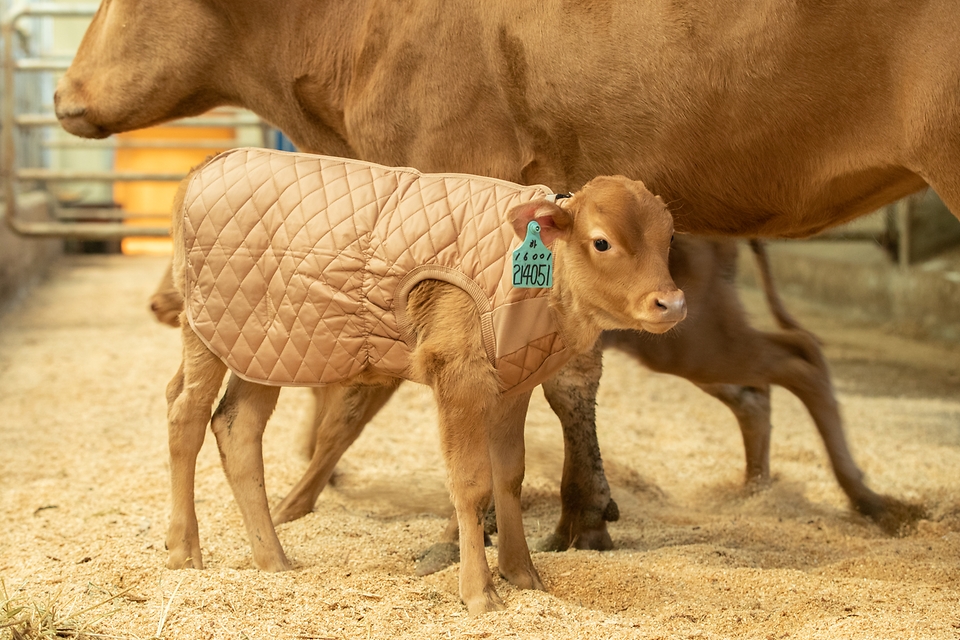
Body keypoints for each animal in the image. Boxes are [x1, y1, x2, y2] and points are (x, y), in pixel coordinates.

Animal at [165, 148, 680, 612]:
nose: (671, 303)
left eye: (668, 238)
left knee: (236, 427)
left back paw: (273, 560)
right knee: (186, 415)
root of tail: (208, 165)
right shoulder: (458, 371)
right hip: (208, 330)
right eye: (602, 242)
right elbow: (472, 483)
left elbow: (509, 476)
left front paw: (523, 575)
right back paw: (184, 551)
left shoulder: (512, 383)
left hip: (263, 347)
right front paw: (480, 593)